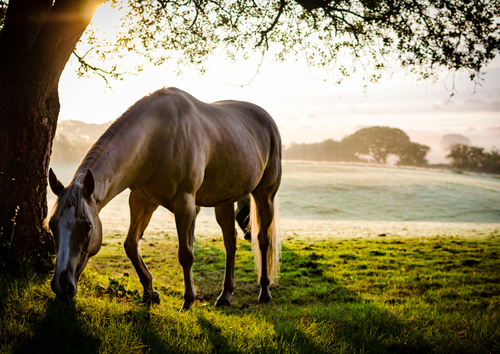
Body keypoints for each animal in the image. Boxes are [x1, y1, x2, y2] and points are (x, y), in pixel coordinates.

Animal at [47, 86, 282, 310]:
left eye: (87, 226)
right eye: (51, 225)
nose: (61, 286)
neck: (156, 137)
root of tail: (268, 120)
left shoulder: (185, 204)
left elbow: (186, 254)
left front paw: (188, 302)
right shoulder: (141, 200)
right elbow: (131, 244)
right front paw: (150, 292)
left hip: (264, 196)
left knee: (263, 240)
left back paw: (265, 292)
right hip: (223, 200)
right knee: (230, 242)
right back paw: (224, 296)